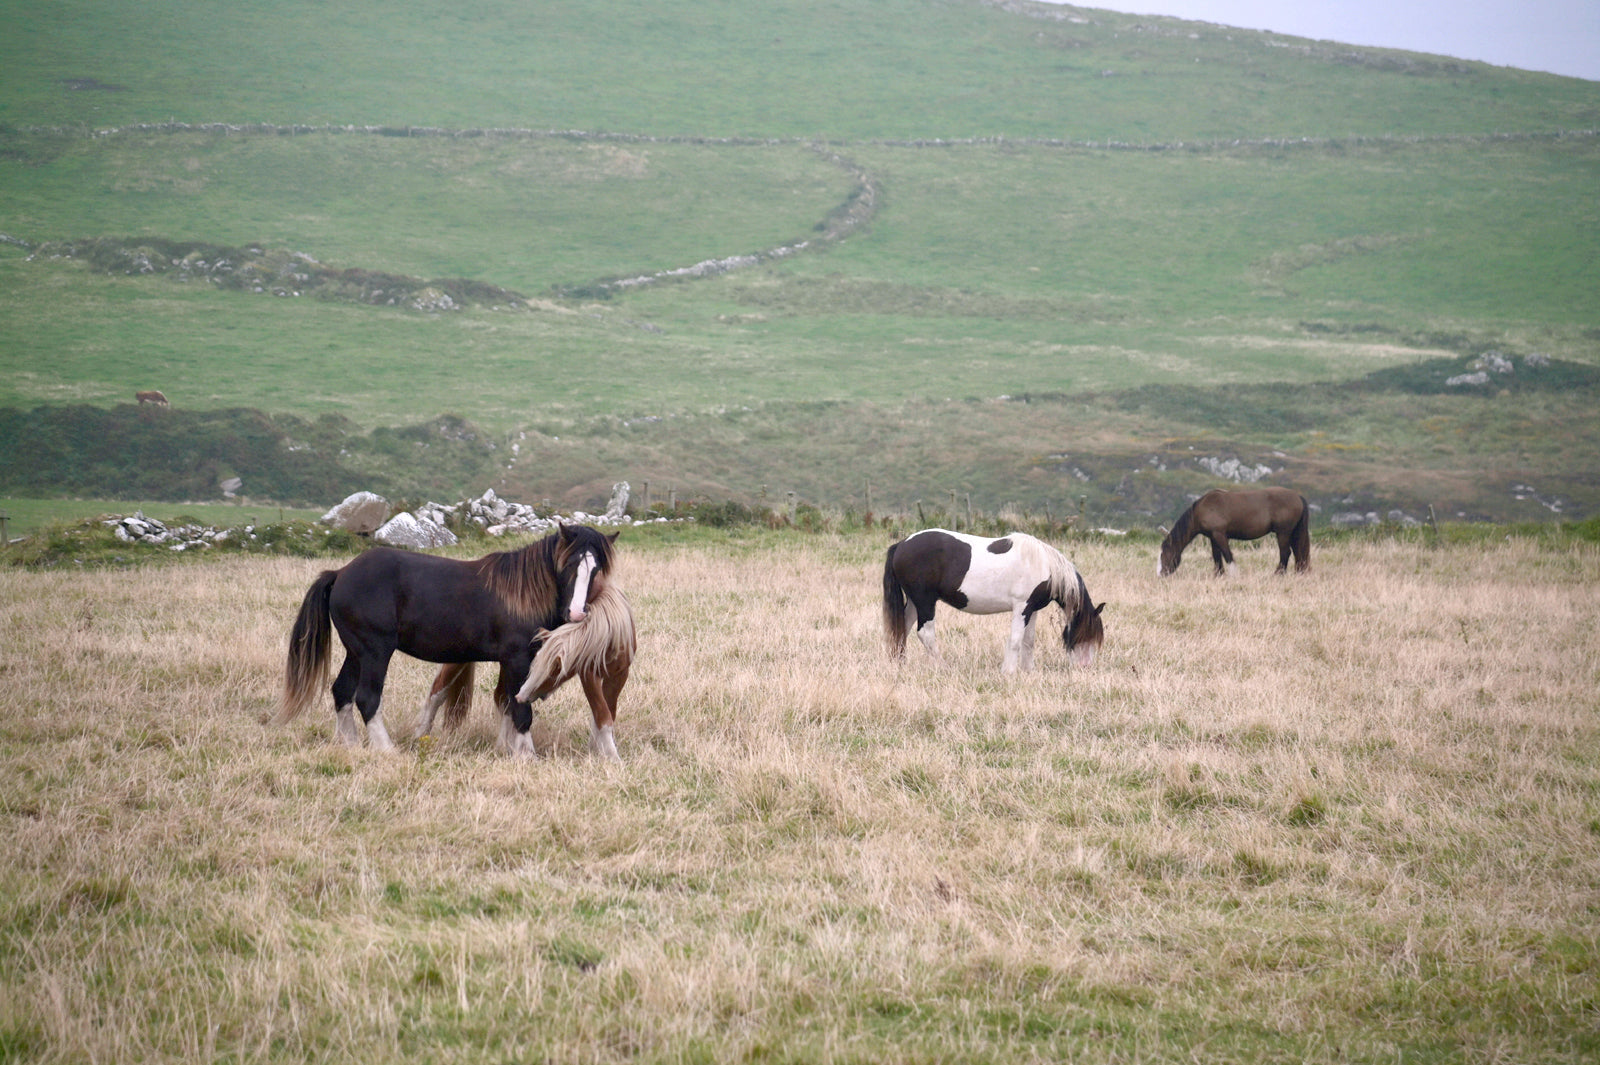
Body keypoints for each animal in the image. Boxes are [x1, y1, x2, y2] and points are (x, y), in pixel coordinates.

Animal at [420, 578, 635, 761]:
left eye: (556, 670)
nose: (524, 695)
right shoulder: (588, 676)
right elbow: (602, 713)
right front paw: (611, 756)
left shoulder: (618, 676)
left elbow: (607, 713)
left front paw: (600, 748)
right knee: (438, 690)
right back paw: (421, 736)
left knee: (502, 698)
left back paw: (504, 746)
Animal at [883, 529, 1104, 673]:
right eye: (1084, 634)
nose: (1085, 667)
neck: (1043, 565)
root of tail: (901, 544)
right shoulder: (1021, 608)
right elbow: (1015, 640)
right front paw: (1008, 672)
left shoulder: (1032, 609)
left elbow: (1028, 641)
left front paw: (1028, 671)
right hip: (925, 602)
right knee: (925, 634)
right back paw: (943, 667)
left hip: (914, 602)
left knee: (902, 629)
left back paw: (899, 665)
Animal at [1157, 486, 1310, 577]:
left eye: (1164, 554)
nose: (1161, 574)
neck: (1204, 508)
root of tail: (1298, 497)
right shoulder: (1213, 537)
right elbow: (1216, 556)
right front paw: (1219, 575)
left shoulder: (1219, 534)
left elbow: (1227, 555)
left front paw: (1233, 575)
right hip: (1292, 533)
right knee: (1297, 553)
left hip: (1283, 533)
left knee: (1285, 553)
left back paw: (1277, 574)